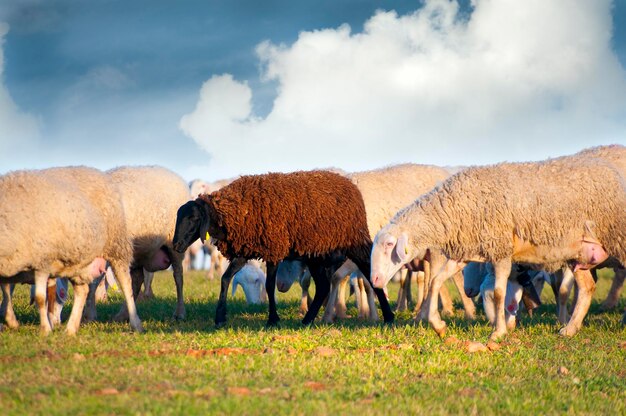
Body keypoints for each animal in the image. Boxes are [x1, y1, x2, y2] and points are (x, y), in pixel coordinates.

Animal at [0, 166, 142, 334]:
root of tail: (96, 171)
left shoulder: (42, 261)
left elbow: (40, 297)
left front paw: (45, 330)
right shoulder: (10, 267)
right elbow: (6, 292)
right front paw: (11, 321)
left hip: (116, 246)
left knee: (126, 283)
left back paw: (135, 323)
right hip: (80, 260)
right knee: (83, 290)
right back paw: (71, 329)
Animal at [173, 171, 392, 326]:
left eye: (193, 218)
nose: (176, 245)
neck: (236, 210)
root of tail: (351, 186)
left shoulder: (274, 248)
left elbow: (270, 285)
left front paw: (272, 319)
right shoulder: (245, 251)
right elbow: (226, 279)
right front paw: (220, 317)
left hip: (354, 243)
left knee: (367, 273)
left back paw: (389, 317)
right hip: (315, 254)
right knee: (322, 286)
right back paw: (307, 320)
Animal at [370, 150, 624, 342]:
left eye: (390, 244)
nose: (375, 280)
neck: (452, 209)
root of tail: (609, 169)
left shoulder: (501, 250)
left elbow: (500, 293)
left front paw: (498, 333)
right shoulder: (466, 253)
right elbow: (436, 282)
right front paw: (438, 325)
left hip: (617, 238)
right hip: (579, 252)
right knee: (587, 287)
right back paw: (570, 329)